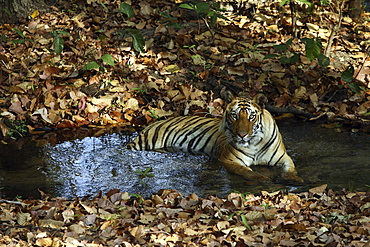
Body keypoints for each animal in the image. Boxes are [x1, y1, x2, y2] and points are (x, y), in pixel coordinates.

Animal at [127, 92, 304, 183]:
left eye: (251, 117)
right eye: (234, 116)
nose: (242, 135)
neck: (254, 142)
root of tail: (150, 124)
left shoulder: (283, 157)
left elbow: (291, 168)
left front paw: (294, 179)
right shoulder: (230, 160)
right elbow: (247, 171)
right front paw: (261, 178)